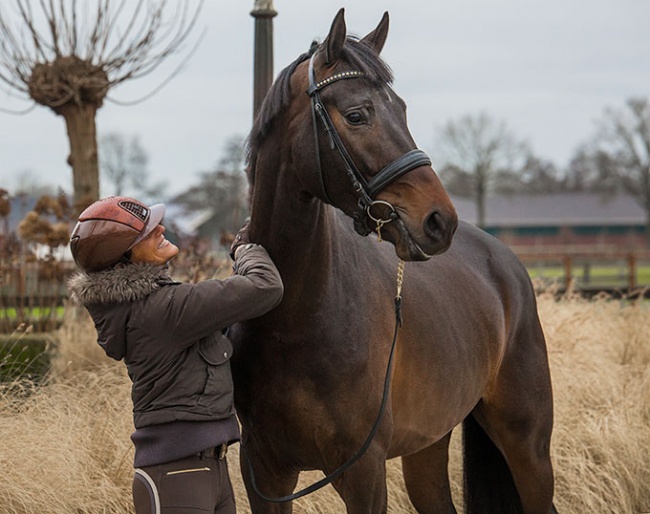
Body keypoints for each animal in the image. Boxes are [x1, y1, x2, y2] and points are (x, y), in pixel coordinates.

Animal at [229, 9, 556, 512]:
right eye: (357, 115)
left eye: (401, 108)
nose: (439, 221)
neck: (294, 316)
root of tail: (504, 261)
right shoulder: (265, 472)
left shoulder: (363, 471)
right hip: (428, 448)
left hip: (529, 447)